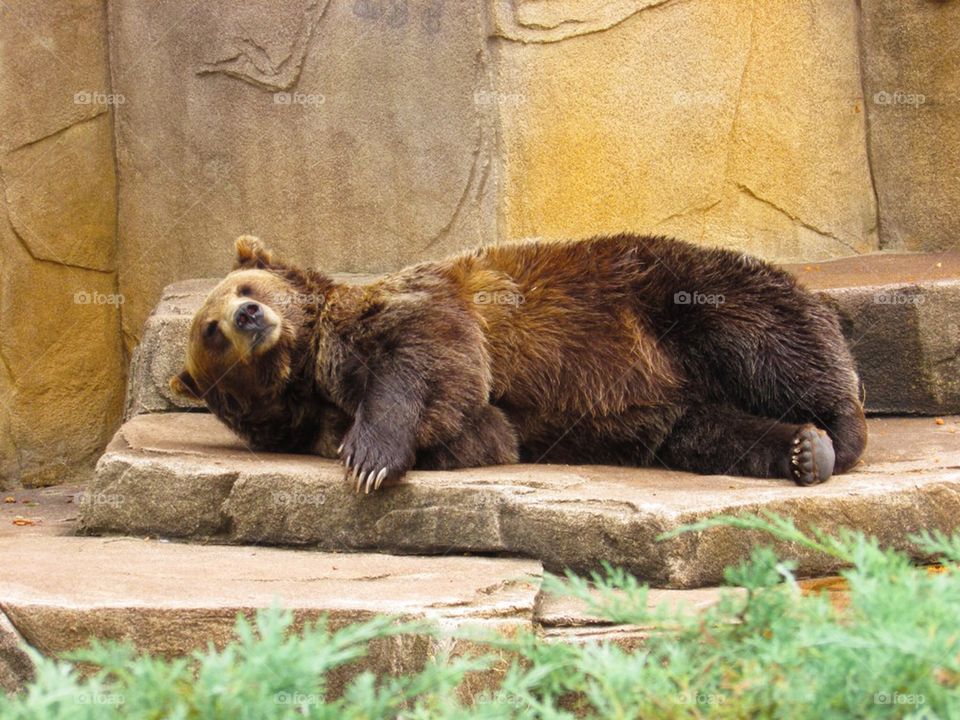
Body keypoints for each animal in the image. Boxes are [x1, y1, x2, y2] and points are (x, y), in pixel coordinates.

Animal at [171, 234, 867, 494]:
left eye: (246, 288)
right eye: (211, 329)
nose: (249, 317)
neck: (307, 371)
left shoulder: (407, 307)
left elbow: (431, 351)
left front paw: (370, 457)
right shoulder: (314, 419)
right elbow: (480, 429)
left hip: (667, 294)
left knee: (767, 337)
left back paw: (839, 426)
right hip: (660, 415)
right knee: (706, 430)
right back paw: (804, 450)